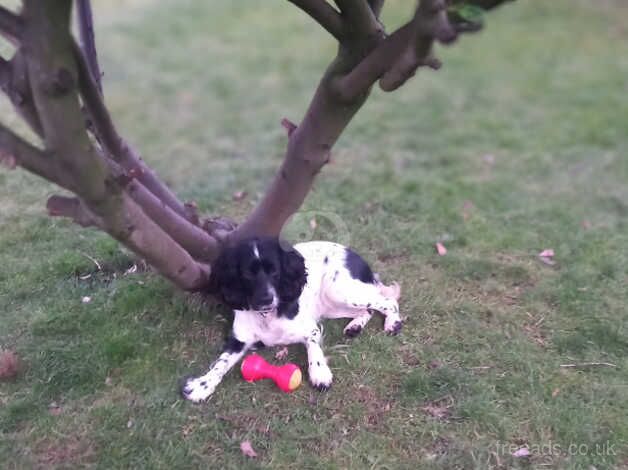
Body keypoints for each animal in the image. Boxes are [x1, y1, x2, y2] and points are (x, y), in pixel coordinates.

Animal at [180, 239, 402, 404]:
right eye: (247, 274)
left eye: (275, 271)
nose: (266, 299)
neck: (268, 315)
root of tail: (355, 255)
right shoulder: (239, 340)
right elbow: (221, 363)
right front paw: (202, 384)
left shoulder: (311, 329)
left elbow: (314, 348)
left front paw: (319, 372)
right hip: (332, 304)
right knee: (368, 310)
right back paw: (354, 326)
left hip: (339, 289)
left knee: (387, 301)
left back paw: (393, 323)